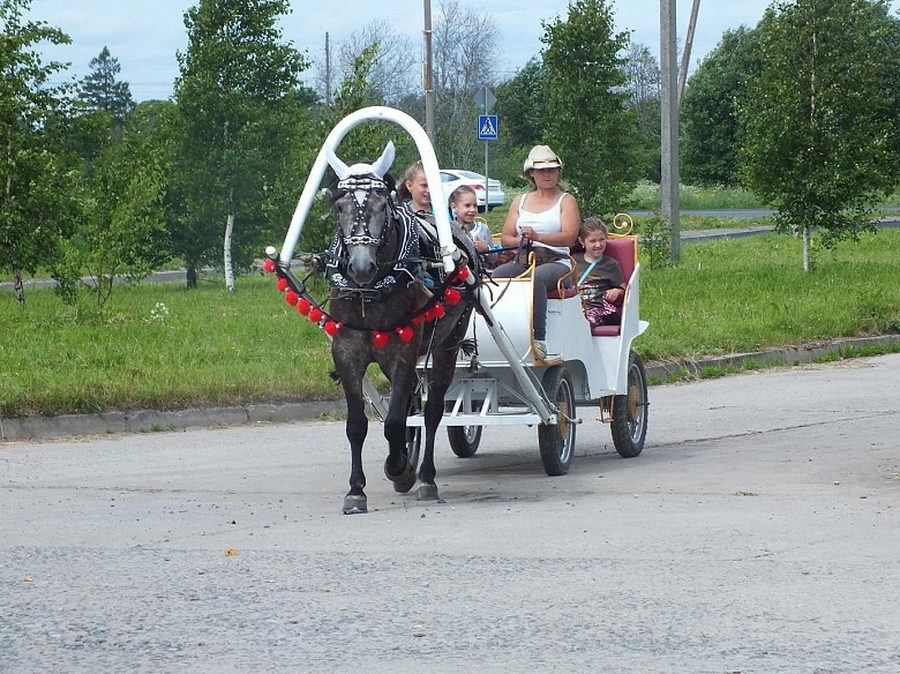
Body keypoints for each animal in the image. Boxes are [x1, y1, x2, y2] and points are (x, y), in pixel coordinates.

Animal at [322, 140, 482, 510]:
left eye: (383, 206)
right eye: (340, 208)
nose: (361, 266)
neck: (369, 293)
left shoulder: (403, 354)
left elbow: (395, 421)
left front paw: (399, 467)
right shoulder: (347, 352)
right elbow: (357, 424)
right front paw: (356, 490)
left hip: (447, 344)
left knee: (433, 409)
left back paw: (425, 477)